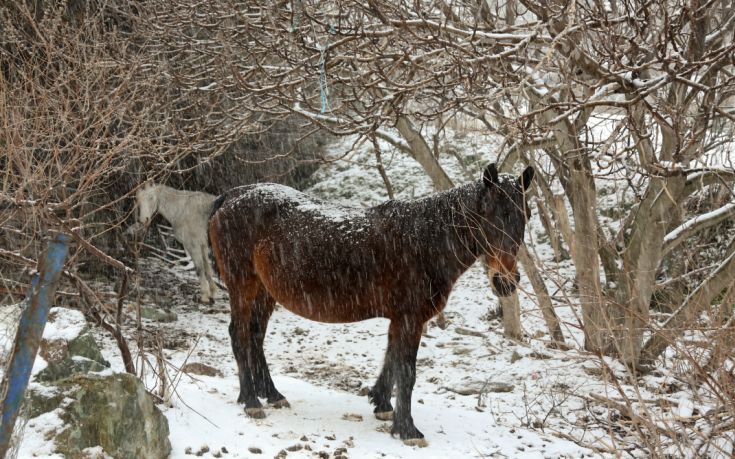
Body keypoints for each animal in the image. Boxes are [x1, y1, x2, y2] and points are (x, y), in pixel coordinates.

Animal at [207, 164, 536, 446]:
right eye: (489, 214)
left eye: (526, 215)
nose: (505, 281)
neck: (424, 241)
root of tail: (232, 196)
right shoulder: (409, 318)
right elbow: (406, 372)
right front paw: (407, 429)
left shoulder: (402, 319)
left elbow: (391, 359)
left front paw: (382, 404)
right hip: (243, 286)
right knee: (239, 335)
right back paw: (251, 401)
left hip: (265, 292)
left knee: (255, 336)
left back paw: (272, 394)